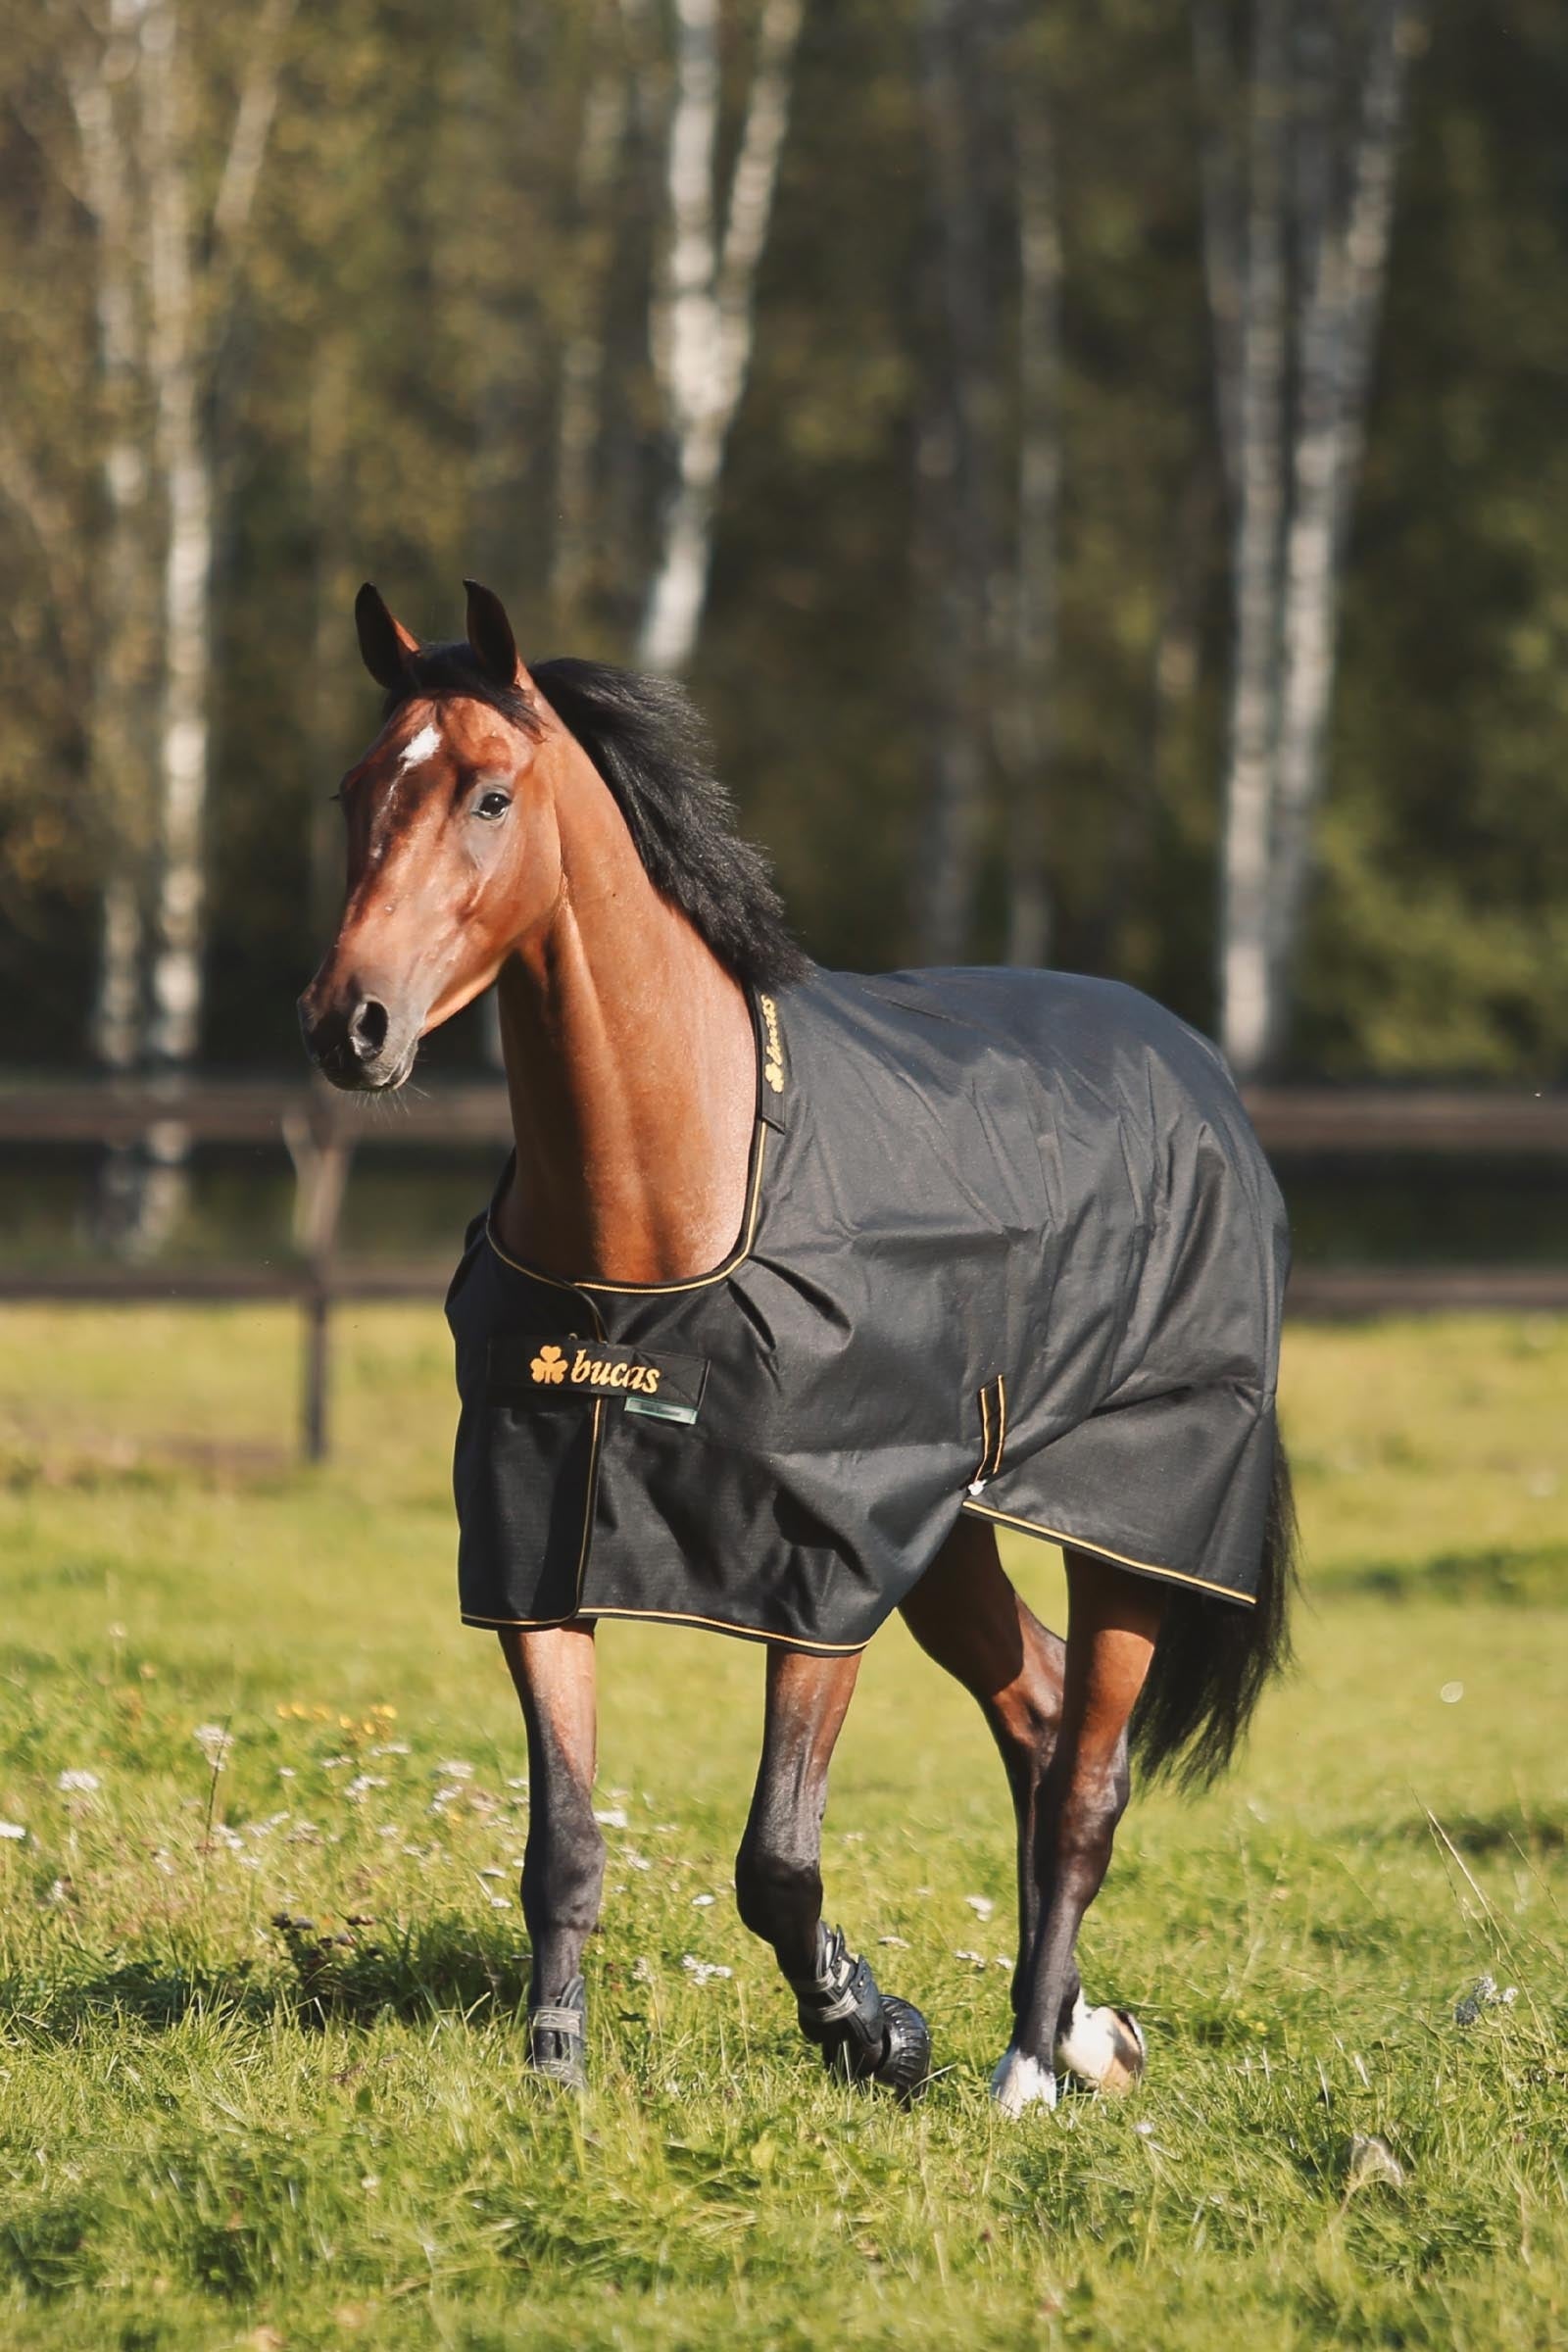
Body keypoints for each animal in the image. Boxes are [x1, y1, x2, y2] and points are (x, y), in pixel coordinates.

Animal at [298, 580, 1296, 2113]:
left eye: (489, 795)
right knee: (1037, 1709)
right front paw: (554, 2079)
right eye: (357, 788)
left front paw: (874, 2030)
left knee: (1085, 1781)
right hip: (948, 1535)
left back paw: (1026, 2067)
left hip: (1132, 1522)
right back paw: (1082, 2033)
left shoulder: (821, 1569)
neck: (665, 1214)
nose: (351, 1025)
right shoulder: (536, 1548)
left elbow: (776, 1863)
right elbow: (563, 1849)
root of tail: (1195, 1070)